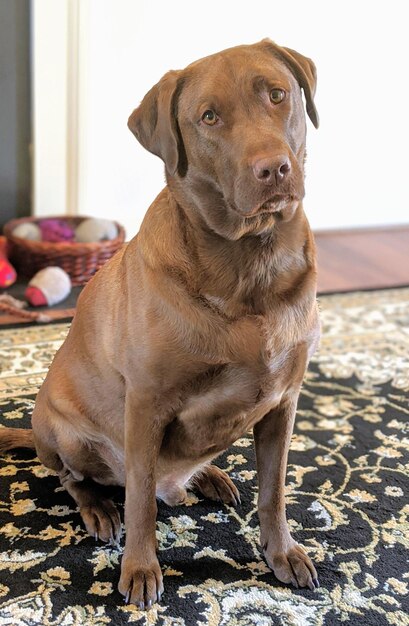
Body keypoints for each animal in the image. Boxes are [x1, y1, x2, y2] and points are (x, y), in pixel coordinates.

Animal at [0, 39, 318, 604]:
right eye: (209, 117)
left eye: (278, 95)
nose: (273, 169)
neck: (251, 262)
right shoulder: (146, 405)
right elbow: (142, 501)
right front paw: (141, 568)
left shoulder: (285, 402)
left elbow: (275, 491)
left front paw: (281, 553)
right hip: (62, 432)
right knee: (78, 480)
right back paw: (99, 510)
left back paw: (210, 476)